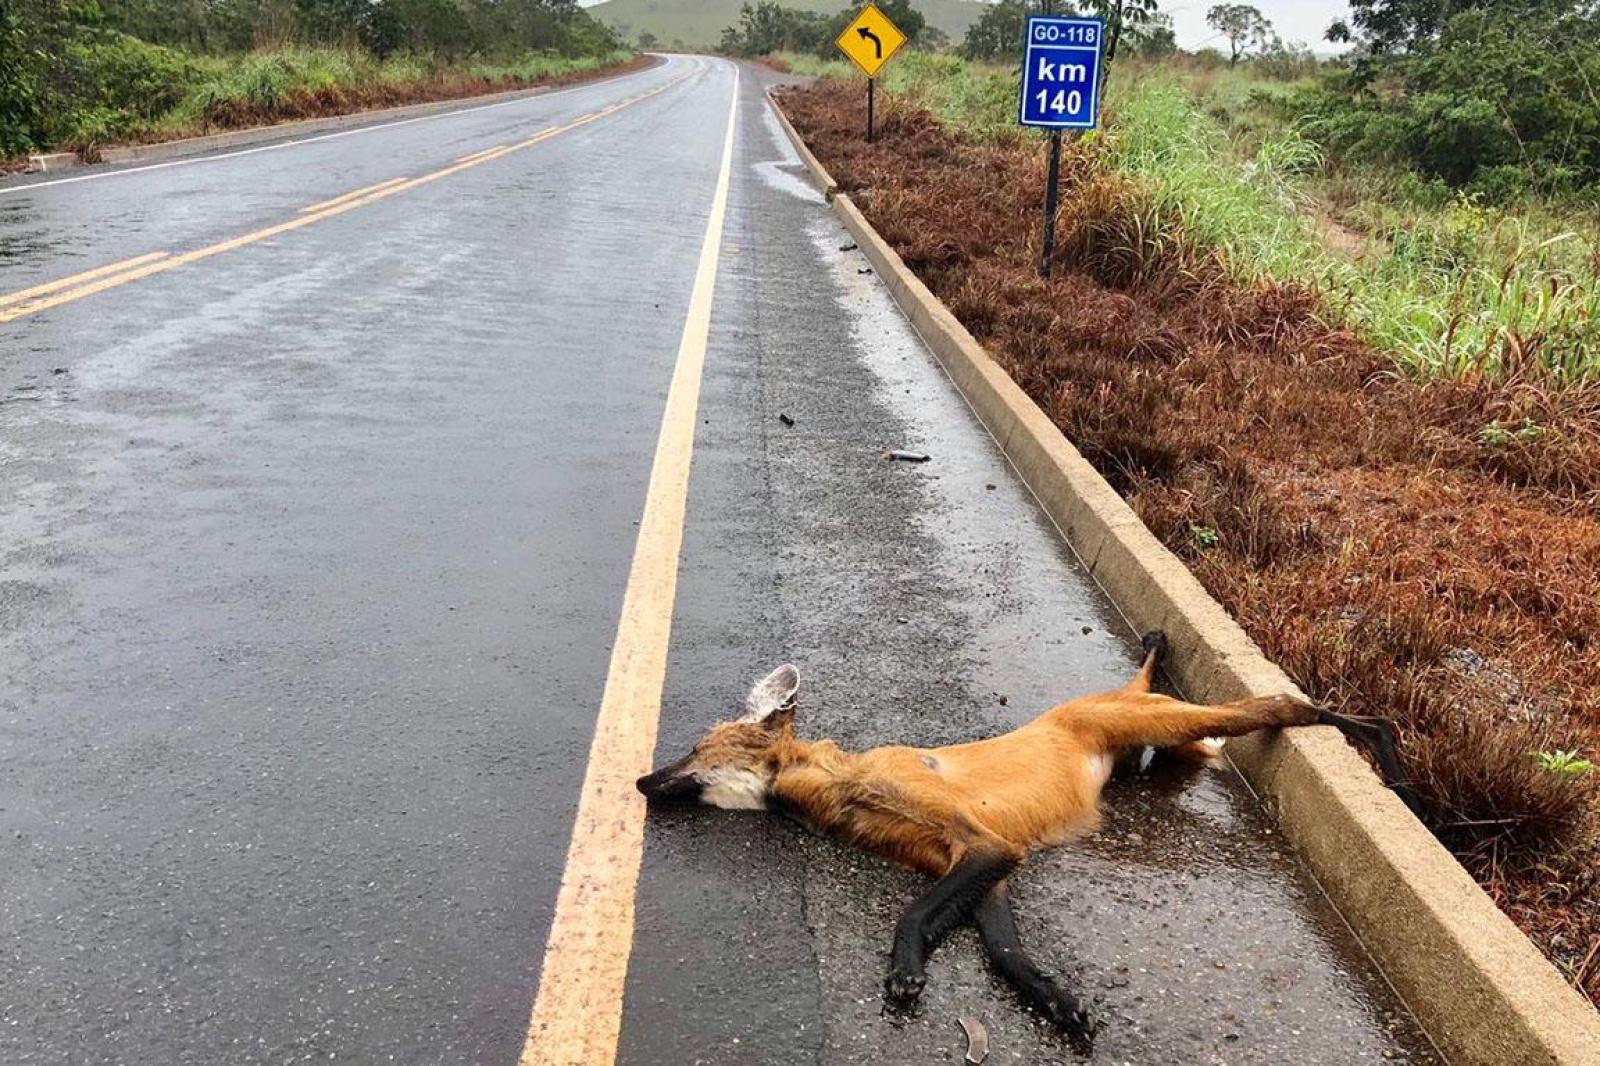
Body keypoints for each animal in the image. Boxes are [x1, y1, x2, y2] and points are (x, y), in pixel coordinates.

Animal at [636, 630, 1414, 1043]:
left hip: (1161, 723)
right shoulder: (975, 866)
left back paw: (1386, 750)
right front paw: (1059, 1003)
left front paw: (905, 973)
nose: (642, 781)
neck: (840, 788)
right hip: (1168, 747)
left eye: (692, 751)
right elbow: (1006, 952)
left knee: (1279, 704)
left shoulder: (983, 846)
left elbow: (912, 917)